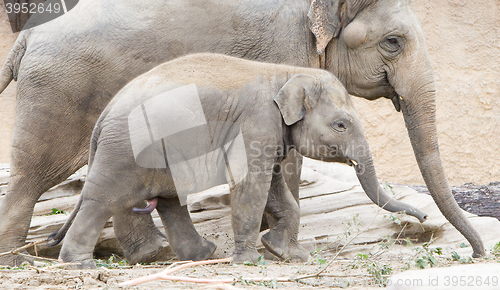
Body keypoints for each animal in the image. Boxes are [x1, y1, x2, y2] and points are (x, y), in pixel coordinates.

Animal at [53, 53, 426, 268]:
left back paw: (194, 254)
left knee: (167, 200)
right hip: (126, 151)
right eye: (341, 125)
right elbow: (251, 185)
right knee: (104, 200)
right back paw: (81, 265)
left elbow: (276, 189)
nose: (422, 216)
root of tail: (103, 117)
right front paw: (250, 262)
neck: (286, 73)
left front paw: (288, 254)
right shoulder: (257, 123)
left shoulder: (270, 134)